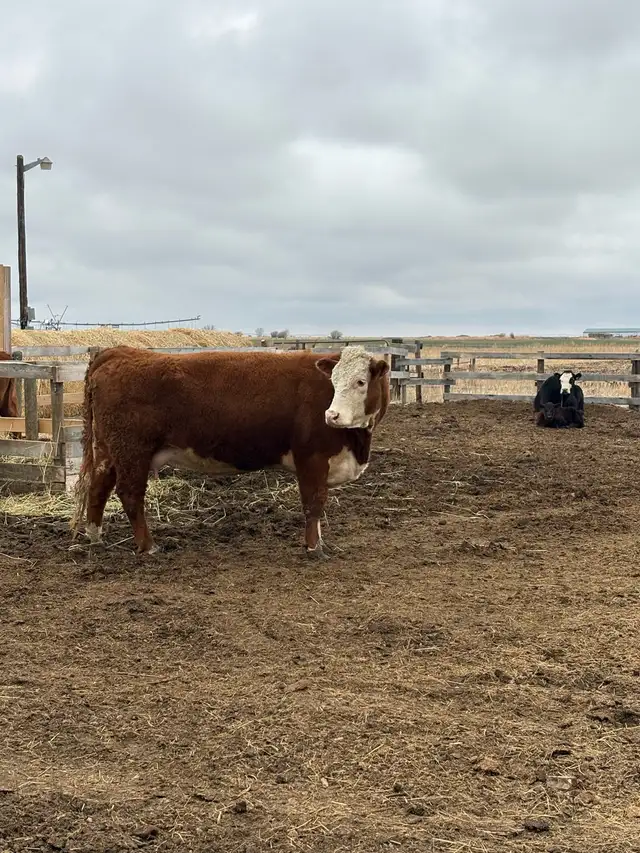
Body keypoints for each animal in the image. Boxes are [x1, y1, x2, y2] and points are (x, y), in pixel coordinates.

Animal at [70, 344, 390, 558]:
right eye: (333, 382)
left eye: (360, 382)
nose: (332, 415)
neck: (357, 442)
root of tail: (121, 352)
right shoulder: (312, 458)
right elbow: (314, 504)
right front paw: (314, 549)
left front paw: (320, 543)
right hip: (132, 451)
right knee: (130, 494)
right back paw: (148, 547)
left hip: (110, 450)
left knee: (98, 486)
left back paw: (95, 537)